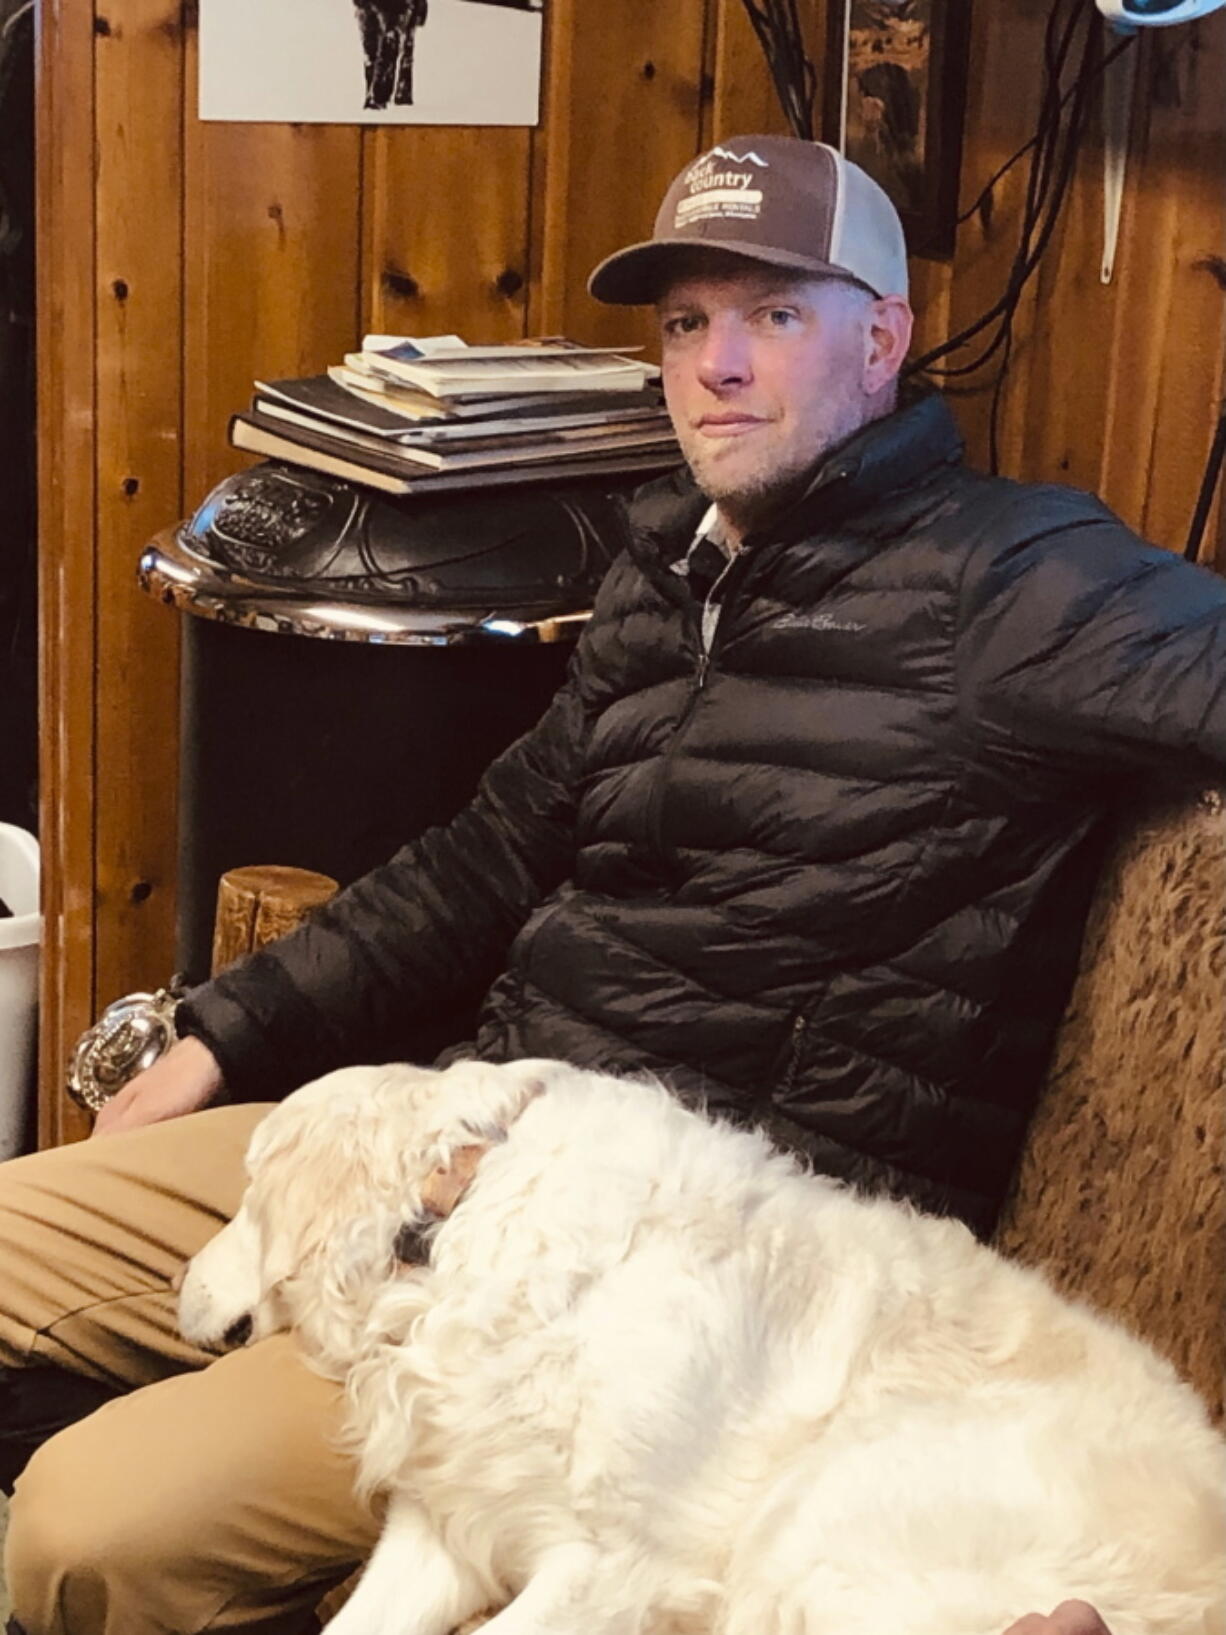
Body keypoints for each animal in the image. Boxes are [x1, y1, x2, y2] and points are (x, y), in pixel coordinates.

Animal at [174, 1059, 1226, 1635]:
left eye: (246, 1189)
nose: (178, 1283)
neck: (469, 1207)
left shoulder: (619, 1571)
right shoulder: (449, 1523)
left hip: (819, 1535)